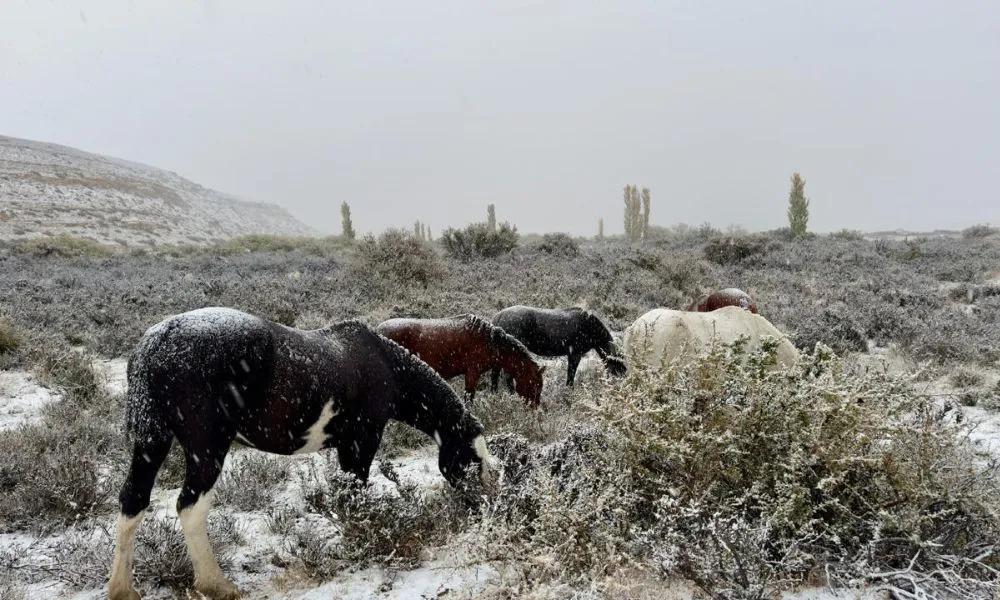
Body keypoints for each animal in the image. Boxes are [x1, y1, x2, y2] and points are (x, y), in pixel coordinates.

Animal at [108, 307, 497, 600]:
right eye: (472, 459)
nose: (483, 508)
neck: (383, 363)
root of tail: (157, 341)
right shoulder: (362, 442)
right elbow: (354, 493)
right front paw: (360, 539)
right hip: (208, 448)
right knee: (190, 507)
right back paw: (216, 585)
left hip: (151, 444)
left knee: (133, 501)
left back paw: (123, 590)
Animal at [490, 306, 627, 387]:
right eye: (618, 361)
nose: (625, 377)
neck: (589, 326)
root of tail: (498, 316)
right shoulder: (575, 354)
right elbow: (571, 375)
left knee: (495, 374)